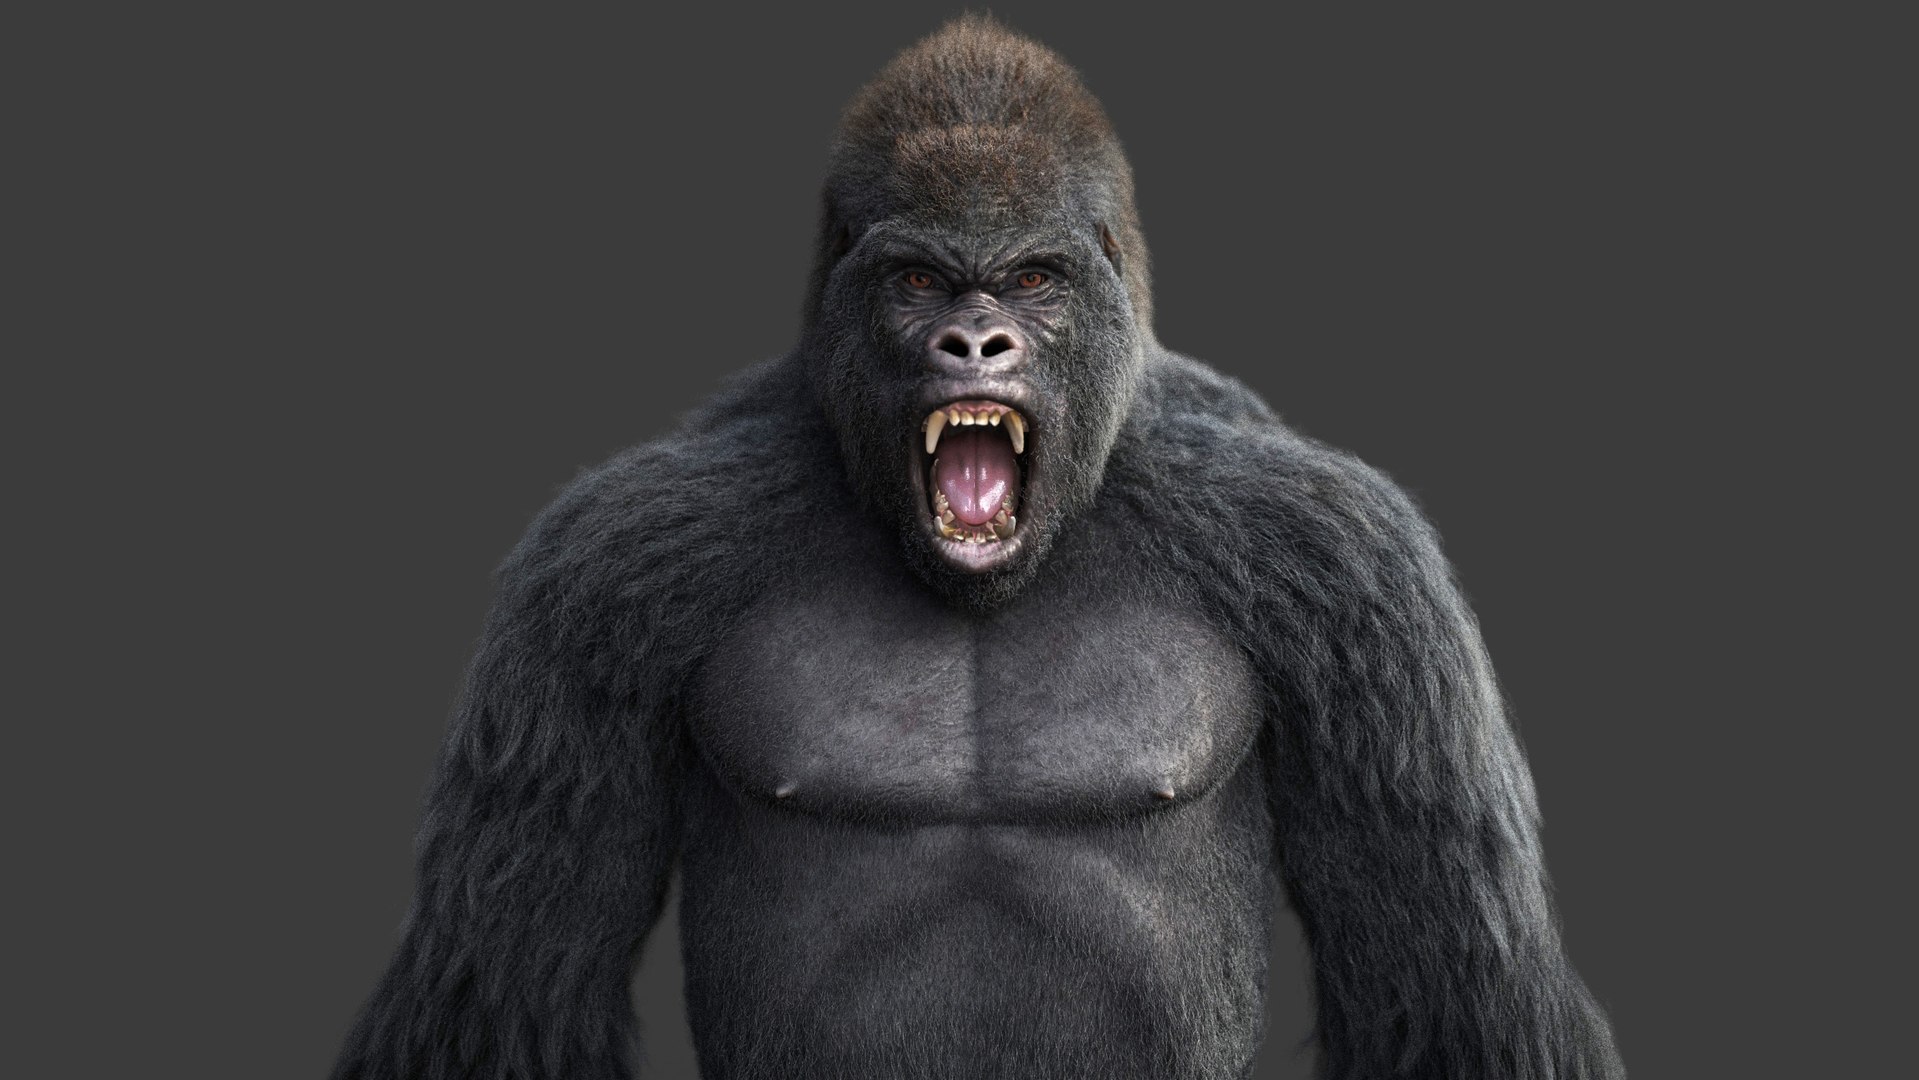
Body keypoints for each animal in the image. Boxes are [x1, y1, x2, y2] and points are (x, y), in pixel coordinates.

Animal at [333, 16, 1624, 1079]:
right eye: (916, 279)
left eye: (1033, 279)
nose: (974, 343)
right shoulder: (604, 569)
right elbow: (509, 985)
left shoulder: (1347, 563)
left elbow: (1452, 987)